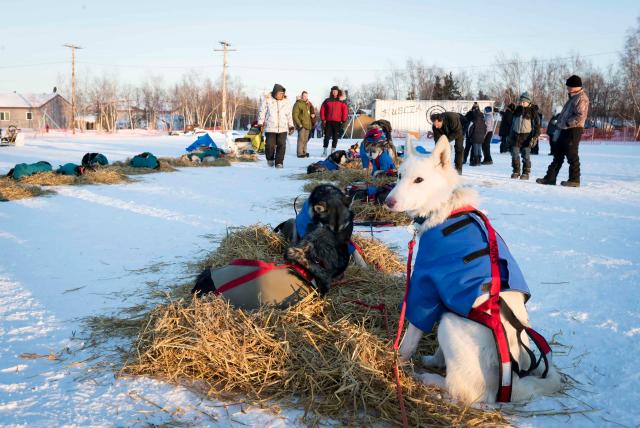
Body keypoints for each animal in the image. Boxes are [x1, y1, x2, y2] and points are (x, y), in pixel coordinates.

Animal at [384, 136, 560, 404]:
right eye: (399, 175)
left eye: (419, 180)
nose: (388, 202)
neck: (445, 207)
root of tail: (509, 380)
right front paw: (433, 359)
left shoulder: (425, 287)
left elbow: (409, 338)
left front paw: (397, 361)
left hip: (450, 323)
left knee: (461, 389)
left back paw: (429, 380)